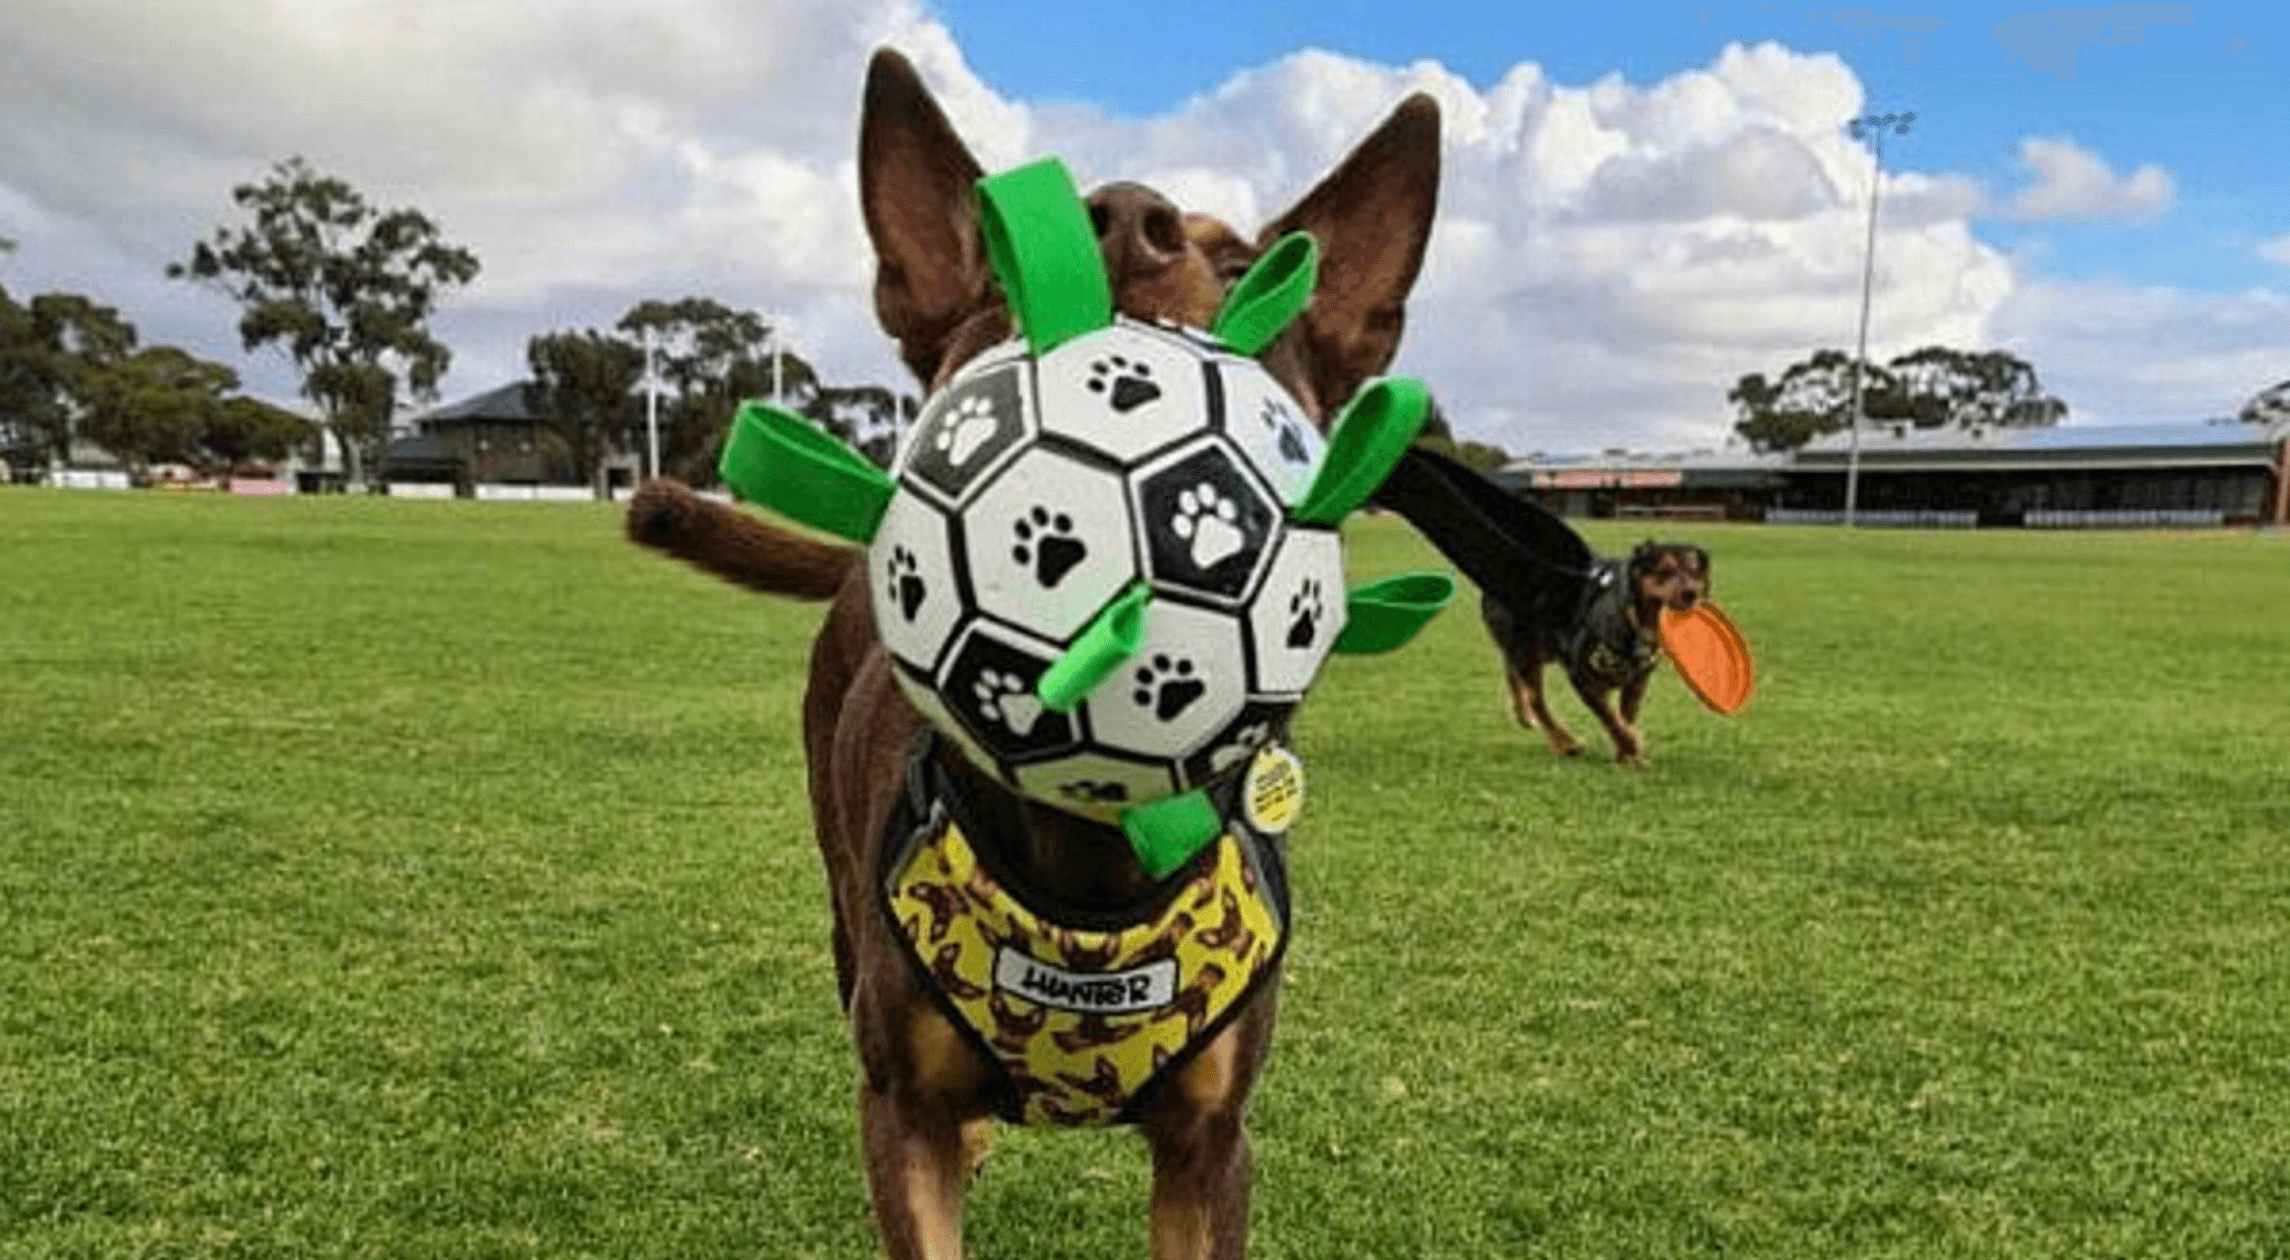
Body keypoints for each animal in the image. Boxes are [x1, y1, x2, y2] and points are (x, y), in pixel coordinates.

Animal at [627, 49, 1428, 1260]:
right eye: (1007, 254)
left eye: (1246, 266)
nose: (1124, 218)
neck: (1087, 866)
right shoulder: (900, 1114)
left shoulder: (1211, 1144)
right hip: (842, 908)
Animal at [1474, 540, 1712, 769]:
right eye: (1664, 571)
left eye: (1695, 572)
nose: (1691, 593)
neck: (1631, 620)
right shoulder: (1581, 676)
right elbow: (1610, 718)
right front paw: (1631, 748)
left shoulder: (1638, 679)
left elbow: (1625, 716)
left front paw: (1625, 756)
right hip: (1523, 647)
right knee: (1535, 699)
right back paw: (1565, 743)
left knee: (1512, 672)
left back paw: (1523, 714)